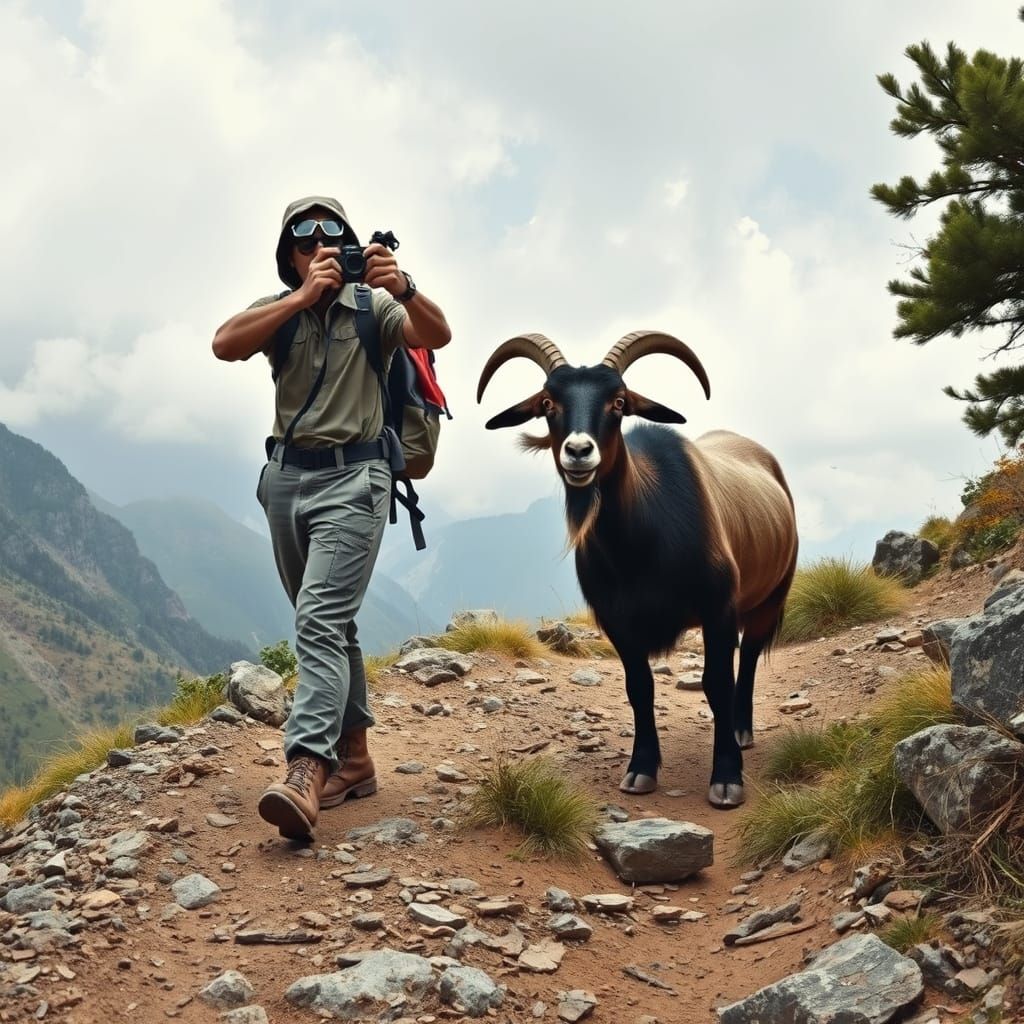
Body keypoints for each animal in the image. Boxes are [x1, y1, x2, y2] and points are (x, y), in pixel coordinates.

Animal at [477, 332, 798, 808]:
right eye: (548, 402)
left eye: (619, 401)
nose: (578, 451)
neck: (640, 547)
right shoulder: (617, 621)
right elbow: (639, 687)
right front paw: (641, 769)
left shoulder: (718, 607)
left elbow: (717, 682)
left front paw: (726, 777)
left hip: (770, 597)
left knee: (752, 655)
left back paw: (741, 731)